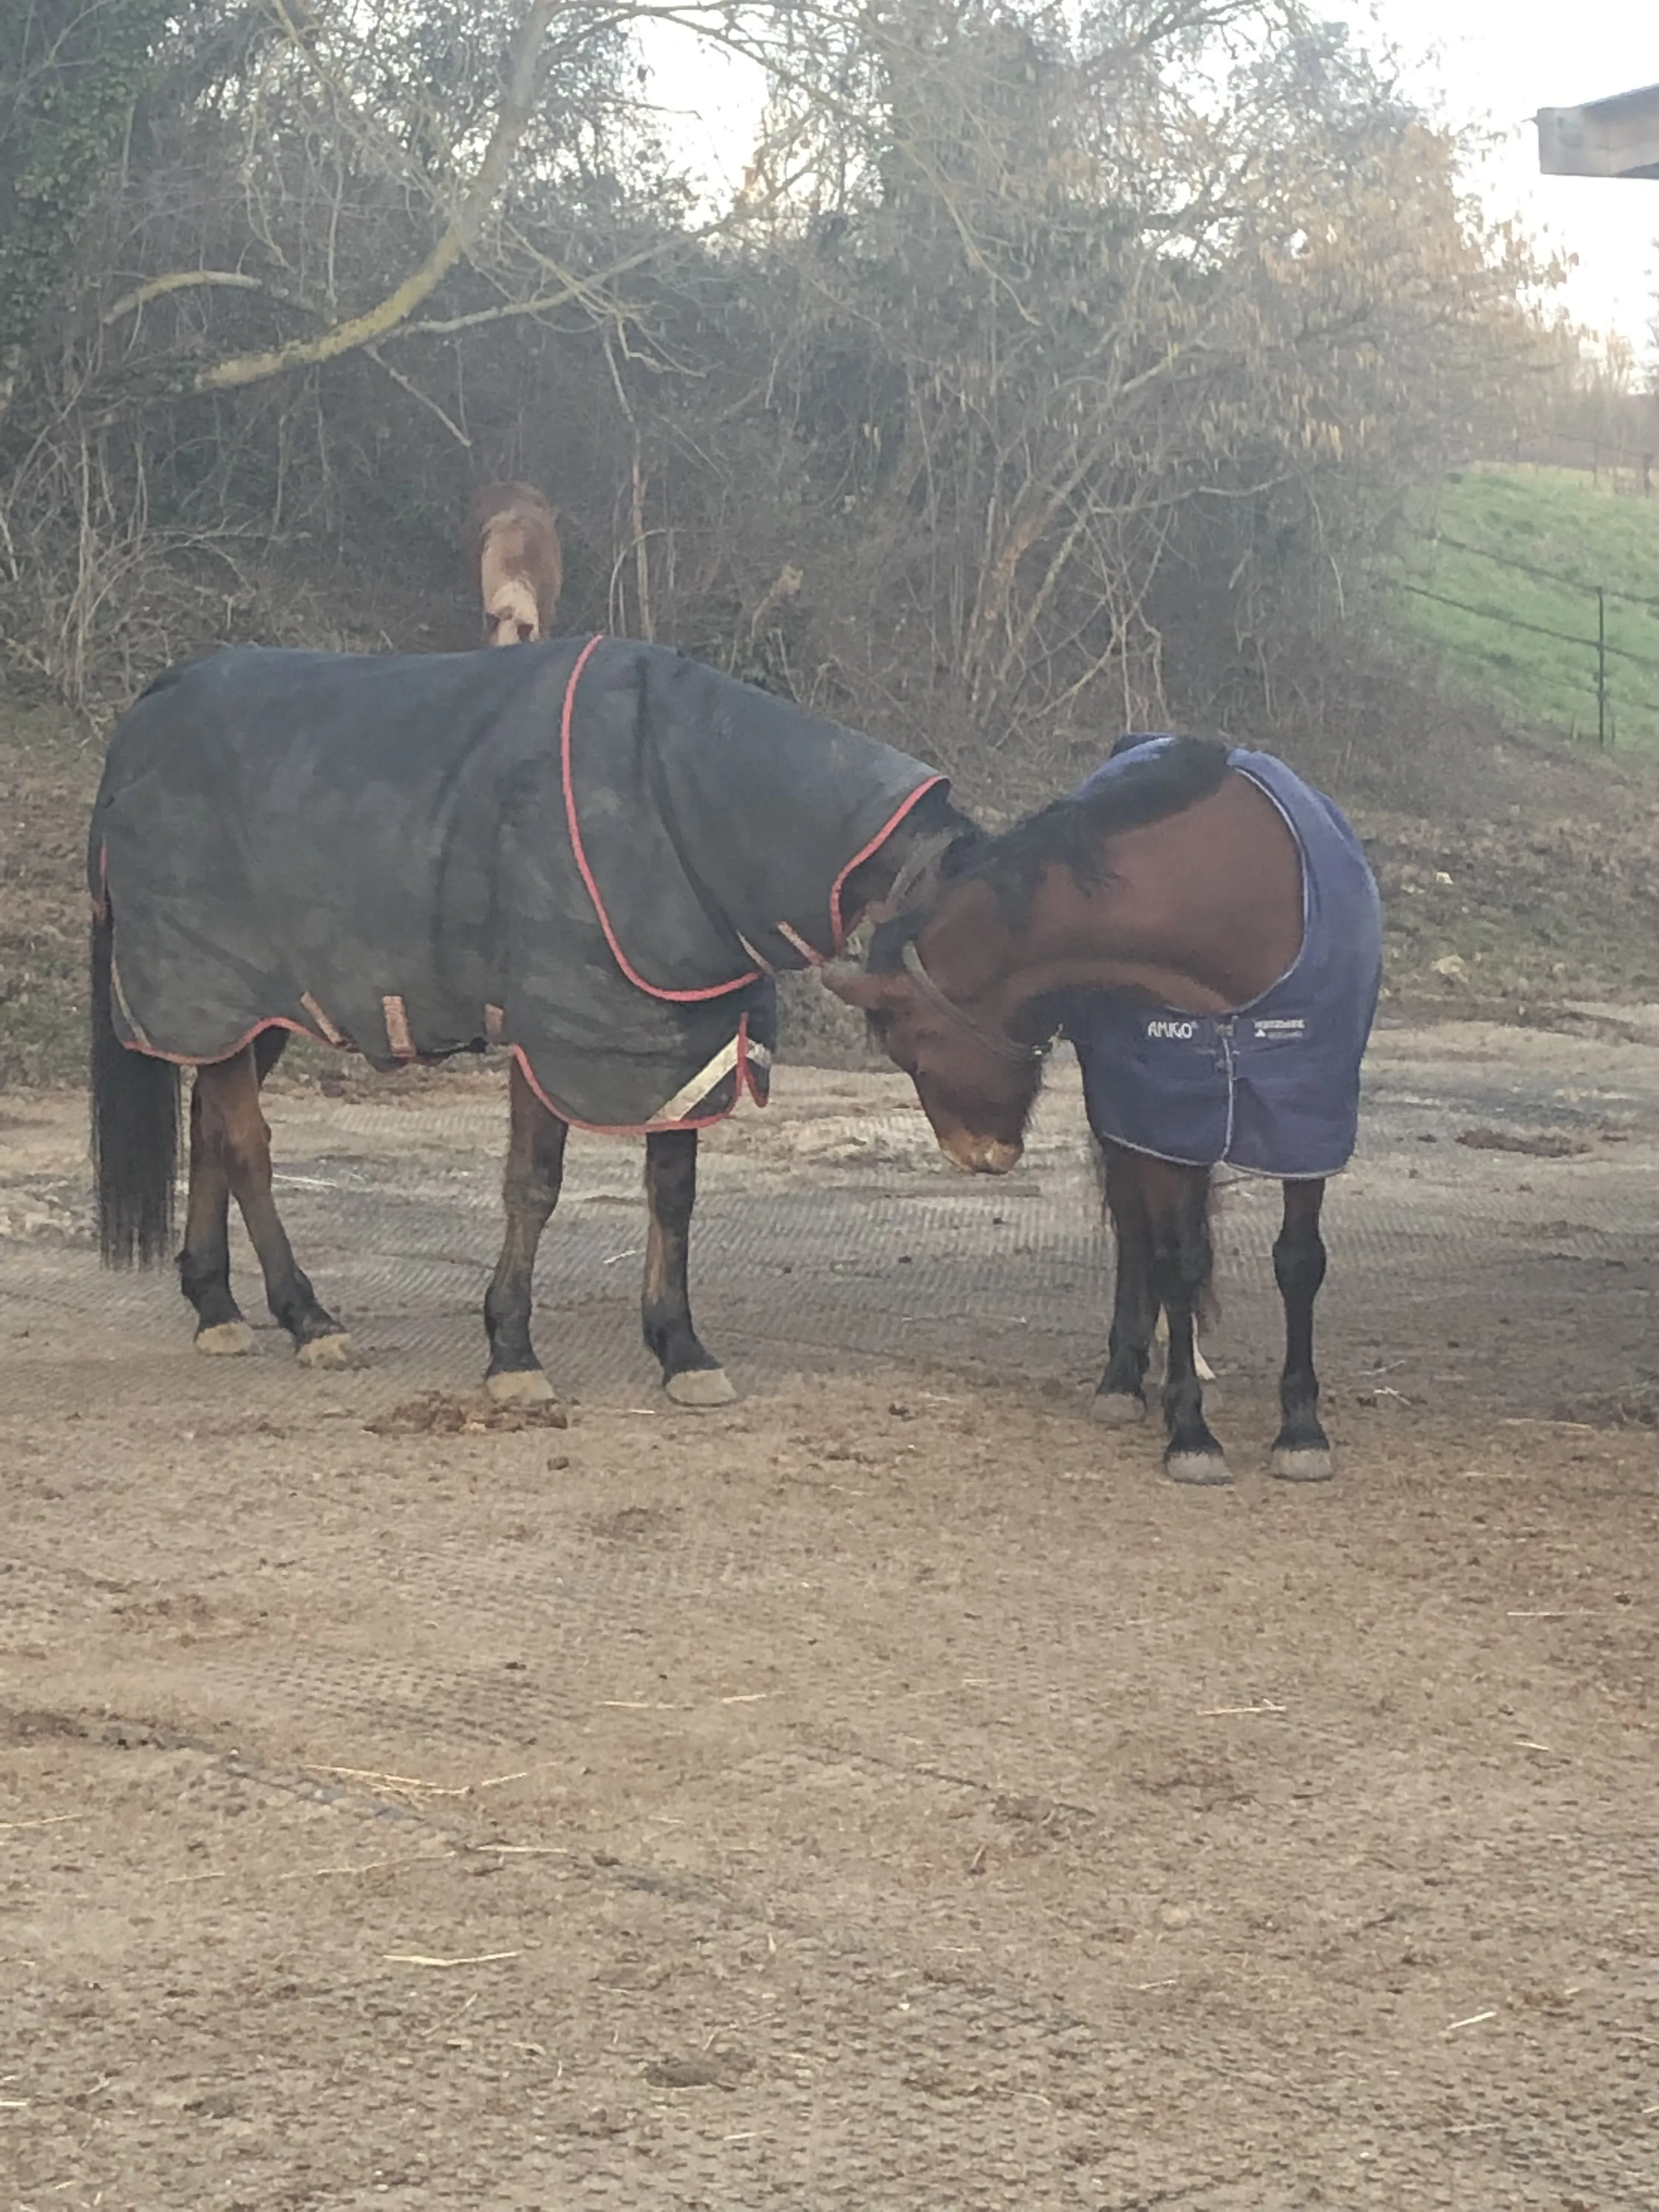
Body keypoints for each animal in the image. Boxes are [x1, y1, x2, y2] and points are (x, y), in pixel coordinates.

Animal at [88, 635, 972, 1406]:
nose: (983, 1151)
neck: (677, 800)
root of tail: (151, 709)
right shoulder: (552, 1039)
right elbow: (534, 1185)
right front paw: (512, 1352)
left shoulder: (674, 1041)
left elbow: (673, 1191)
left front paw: (682, 1351)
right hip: (212, 991)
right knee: (248, 1145)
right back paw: (309, 1319)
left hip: (252, 1013)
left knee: (210, 1127)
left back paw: (217, 1306)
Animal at [825, 735, 1383, 1486]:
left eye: (906, 1045)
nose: (977, 1155)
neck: (1225, 902)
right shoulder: (1167, 1115)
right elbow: (1174, 1263)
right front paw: (1191, 1431)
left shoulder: (1307, 1112)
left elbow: (1299, 1262)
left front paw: (1300, 1427)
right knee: (1137, 1235)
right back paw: (1124, 1378)